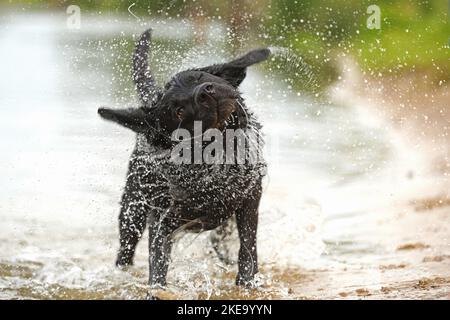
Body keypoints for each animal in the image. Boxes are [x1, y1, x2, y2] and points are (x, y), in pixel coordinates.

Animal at [98, 29, 268, 288]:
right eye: (179, 110)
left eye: (199, 77)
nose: (205, 92)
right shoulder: (162, 220)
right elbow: (157, 263)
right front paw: (156, 289)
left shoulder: (248, 198)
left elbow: (248, 245)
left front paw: (247, 281)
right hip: (132, 212)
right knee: (125, 249)